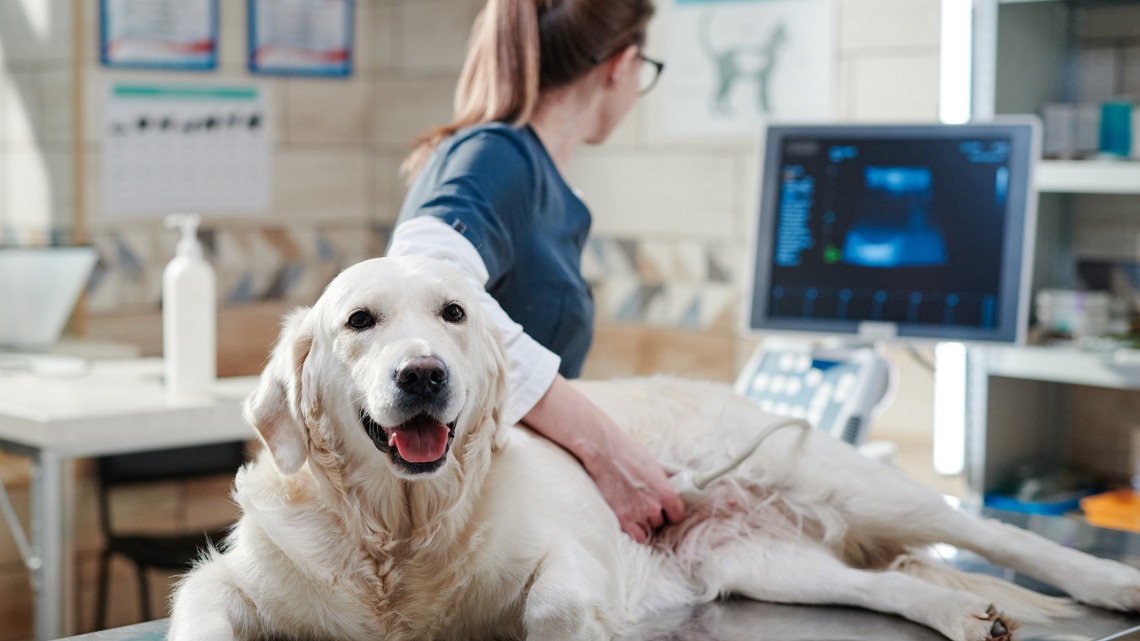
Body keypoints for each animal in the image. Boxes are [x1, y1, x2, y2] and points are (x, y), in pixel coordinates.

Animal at [168, 255, 1140, 638]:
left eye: (453, 314)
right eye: (360, 321)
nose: (424, 375)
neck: (399, 535)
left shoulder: (565, 554)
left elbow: (554, 600)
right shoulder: (228, 580)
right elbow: (203, 610)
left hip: (843, 479)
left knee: (990, 534)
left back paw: (1112, 581)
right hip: (764, 560)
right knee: (887, 585)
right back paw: (964, 616)